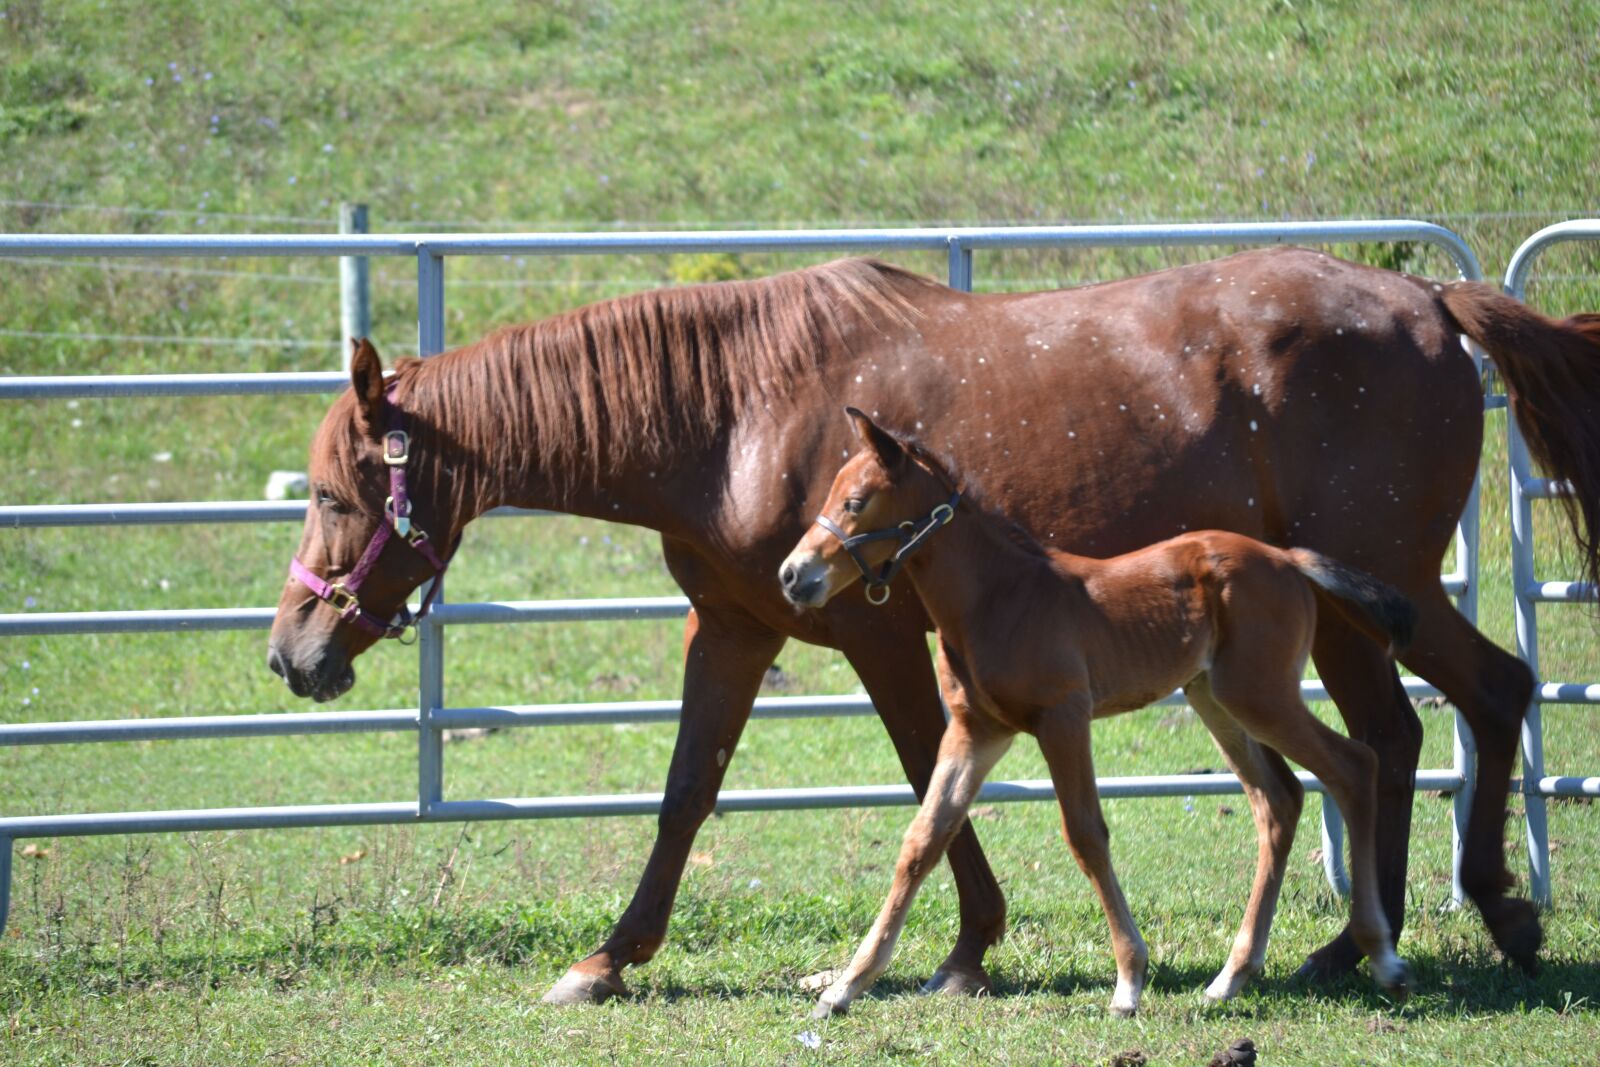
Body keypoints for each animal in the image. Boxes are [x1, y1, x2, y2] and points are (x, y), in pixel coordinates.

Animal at [782, 408, 1419, 1017]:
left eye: (855, 502)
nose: (792, 575)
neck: (996, 598)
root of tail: (1286, 558)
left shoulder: (1063, 716)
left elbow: (1086, 833)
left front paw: (1129, 982)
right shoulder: (976, 731)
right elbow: (923, 841)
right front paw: (845, 987)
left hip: (1260, 695)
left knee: (1353, 765)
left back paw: (1382, 958)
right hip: (1214, 697)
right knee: (1279, 800)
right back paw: (1231, 977)